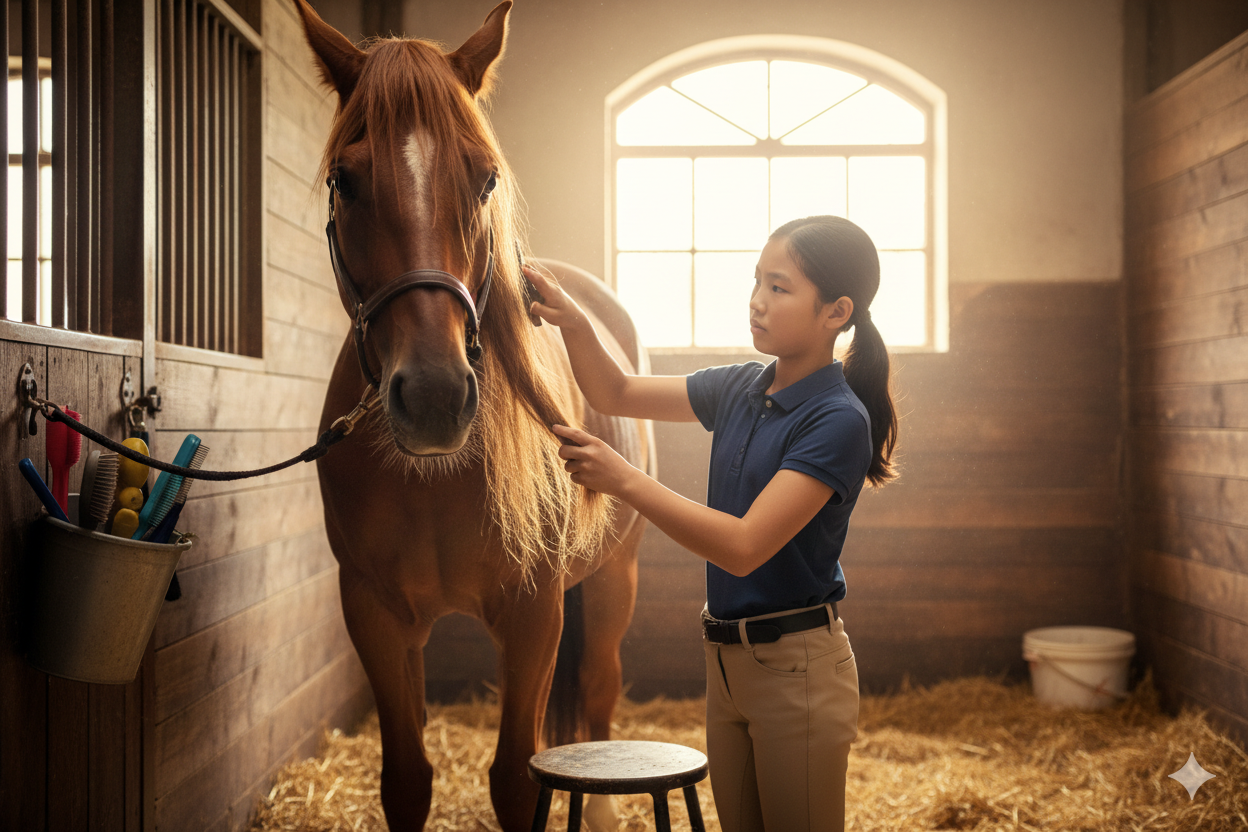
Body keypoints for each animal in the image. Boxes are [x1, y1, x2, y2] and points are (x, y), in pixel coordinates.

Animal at [293, 1, 652, 829]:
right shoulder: (375, 615)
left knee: (598, 700)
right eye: (344, 181)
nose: (432, 396)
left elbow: (520, 777)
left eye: (485, 177)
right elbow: (406, 777)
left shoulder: (535, 613)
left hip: (614, 579)